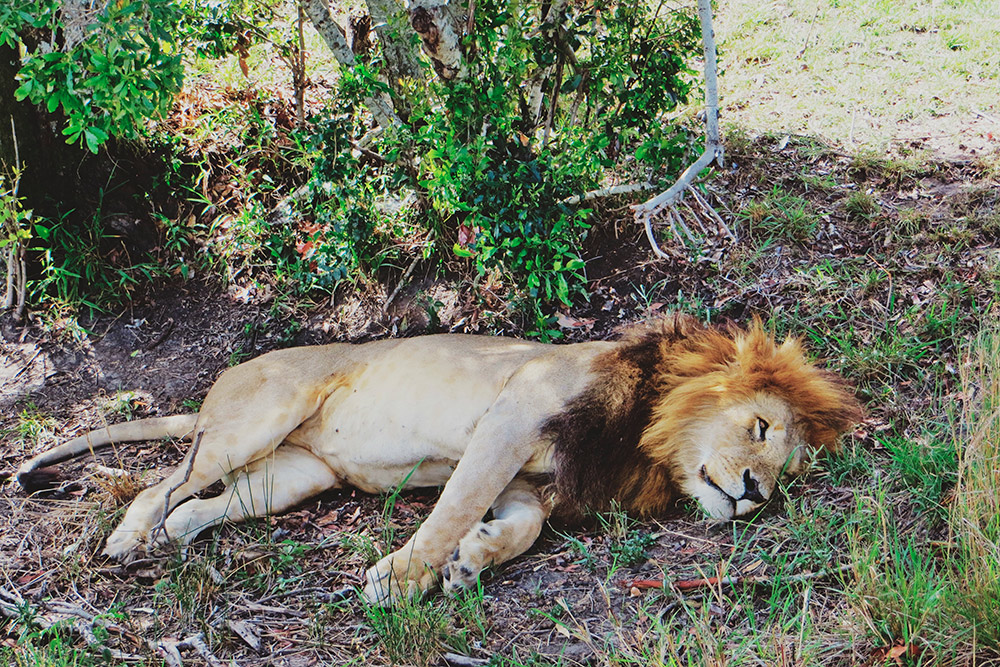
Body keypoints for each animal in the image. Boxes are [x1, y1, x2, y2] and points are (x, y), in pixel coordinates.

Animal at [15, 316, 864, 604]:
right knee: (160, 485)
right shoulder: (515, 414)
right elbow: (456, 499)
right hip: (255, 418)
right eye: (760, 428)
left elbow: (517, 526)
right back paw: (129, 540)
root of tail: (221, 383)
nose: (755, 494)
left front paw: (472, 560)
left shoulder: (532, 485)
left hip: (294, 476)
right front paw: (404, 576)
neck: (641, 434)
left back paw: (168, 541)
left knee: (200, 504)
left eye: (788, 475)